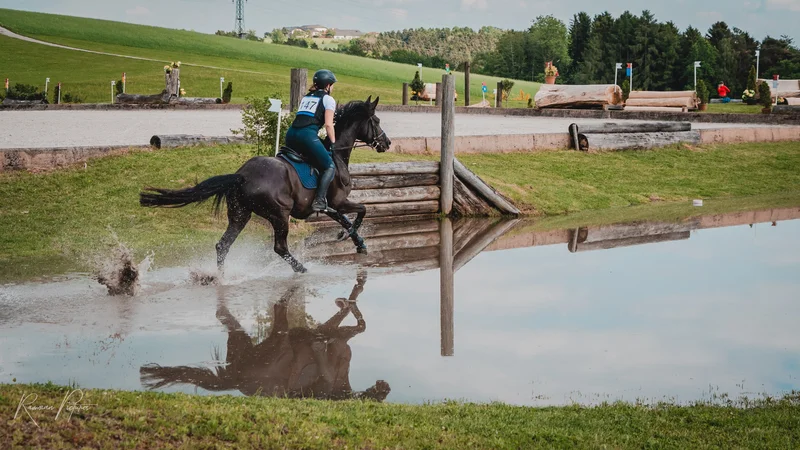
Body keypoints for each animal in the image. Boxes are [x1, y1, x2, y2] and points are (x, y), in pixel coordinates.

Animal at [139, 96, 391, 273]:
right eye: (376, 121)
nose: (387, 143)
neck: (336, 154)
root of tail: (242, 175)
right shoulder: (338, 201)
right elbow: (361, 211)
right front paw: (345, 236)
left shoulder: (330, 206)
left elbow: (347, 219)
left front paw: (358, 243)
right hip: (279, 214)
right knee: (279, 247)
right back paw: (301, 269)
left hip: (240, 214)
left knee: (223, 245)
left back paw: (220, 277)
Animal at [140, 273, 390, 401]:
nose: (382, 384)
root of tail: (236, 381)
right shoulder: (335, 339)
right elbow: (356, 325)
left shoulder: (336, 334)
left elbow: (354, 321)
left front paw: (347, 299)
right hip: (280, 345)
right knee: (279, 312)